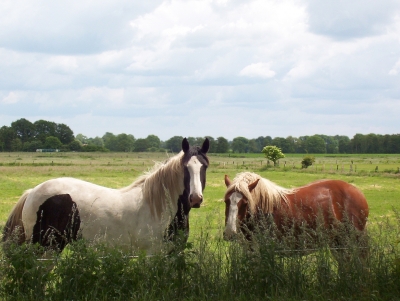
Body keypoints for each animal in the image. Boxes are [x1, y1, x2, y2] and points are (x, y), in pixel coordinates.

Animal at [1, 137, 209, 252]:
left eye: (204, 166)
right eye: (185, 168)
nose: (195, 198)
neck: (159, 207)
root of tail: (31, 193)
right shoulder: (152, 254)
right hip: (47, 248)